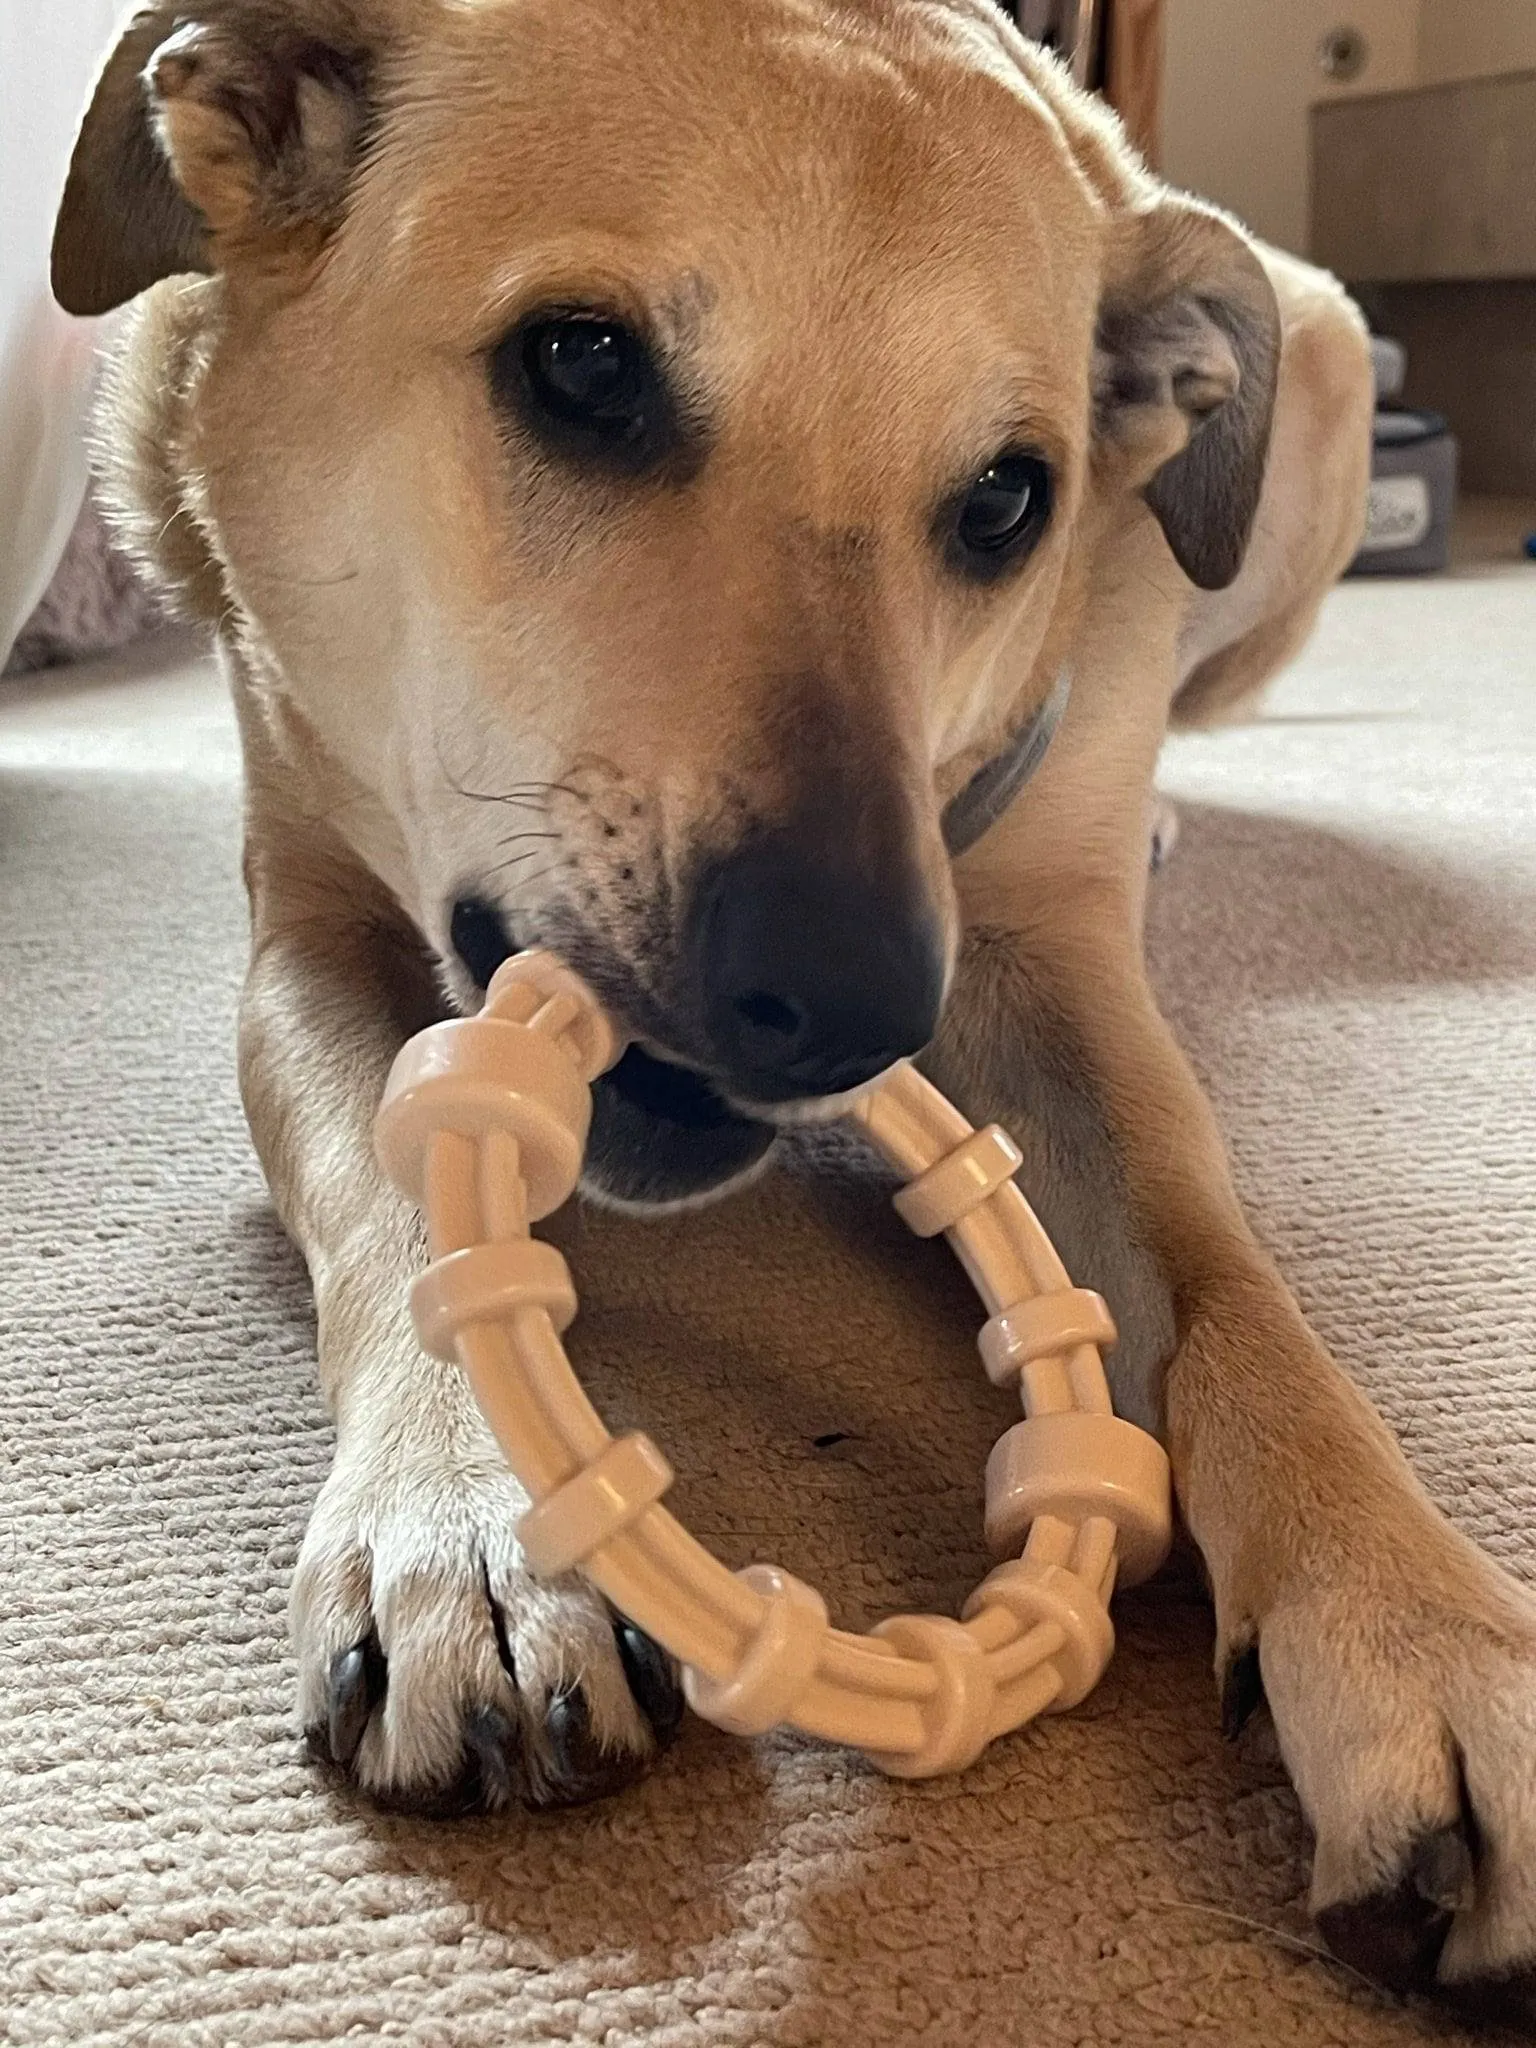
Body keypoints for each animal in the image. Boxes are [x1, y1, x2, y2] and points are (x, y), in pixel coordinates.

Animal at [48, 0, 1536, 2015]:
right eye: (581, 365)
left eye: (1009, 499)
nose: (853, 1003)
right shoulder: (309, 925)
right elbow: (395, 1194)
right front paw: (475, 1533)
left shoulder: (1045, 972)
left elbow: (1238, 1300)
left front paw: (1426, 1631)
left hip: (1303, 372)